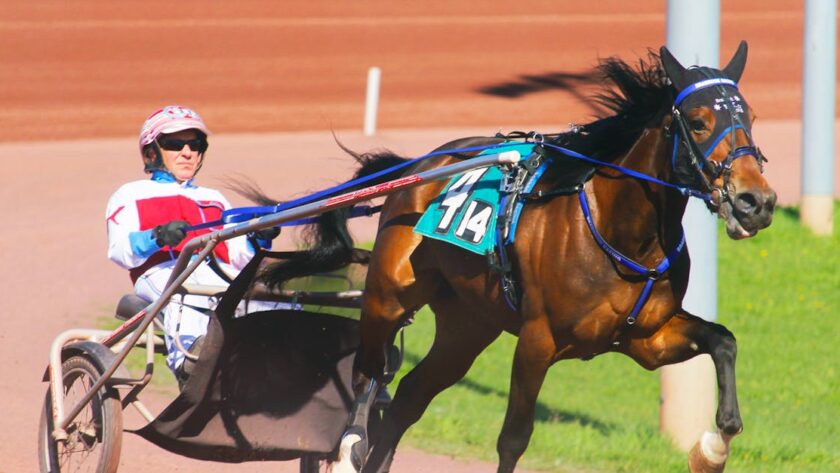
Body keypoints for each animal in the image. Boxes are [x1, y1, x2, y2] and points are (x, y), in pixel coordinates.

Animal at [242, 41, 776, 473]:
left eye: (750, 117)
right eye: (700, 122)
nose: (757, 201)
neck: (621, 234)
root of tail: (419, 166)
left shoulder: (646, 338)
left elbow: (724, 342)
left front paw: (714, 446)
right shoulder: (538, 340)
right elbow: (513, 439)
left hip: (468, 324)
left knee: (408, 399)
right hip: (387, 297)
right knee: (367, 377)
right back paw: (349, 446)